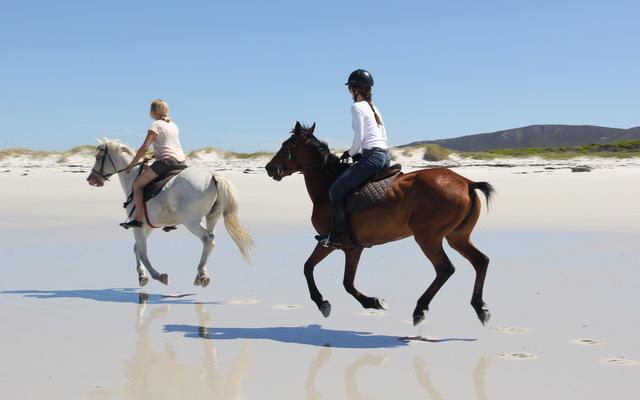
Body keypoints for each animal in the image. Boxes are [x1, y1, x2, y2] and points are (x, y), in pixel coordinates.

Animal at [87, 138, 254, 287]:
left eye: (98, 157)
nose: (90, 179)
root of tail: (213, 175)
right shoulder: (147, 226)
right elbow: (137, 248)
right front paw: (142, 276)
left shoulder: (138, 226)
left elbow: (143, 253)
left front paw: (158, 276)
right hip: (211, 217)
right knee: (210, 241)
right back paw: (200, 275)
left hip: (190, 221)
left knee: (208, 238)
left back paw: (202, 273)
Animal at [265, 122, 495, 326]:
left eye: (285, 146)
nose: (268, 168)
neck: (327, 185)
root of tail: (466, 182)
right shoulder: (352, 249)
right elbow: (335, 278)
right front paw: (369, 302)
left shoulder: (333, 243)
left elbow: (317, 271)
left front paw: (326, 302)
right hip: (456, 237)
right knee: (480, 261)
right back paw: (480, 308)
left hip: (428, 238)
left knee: (445, 269)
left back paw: (420, 309)